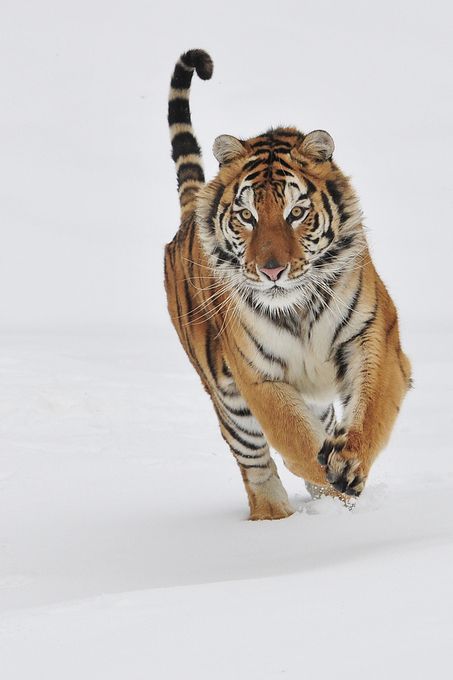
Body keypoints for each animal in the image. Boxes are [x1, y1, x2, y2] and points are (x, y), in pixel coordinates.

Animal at [164, 50, 412, 520]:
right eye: (246, 216)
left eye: (296, 212)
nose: (272, 271)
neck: (299, 308)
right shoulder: (256, 376)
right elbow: (293, 437)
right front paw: (330, 474)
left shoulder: (373, 337)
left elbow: (371, 408)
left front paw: (349, 463)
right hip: (229, 403)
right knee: (257, 466)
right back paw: (276, 519)